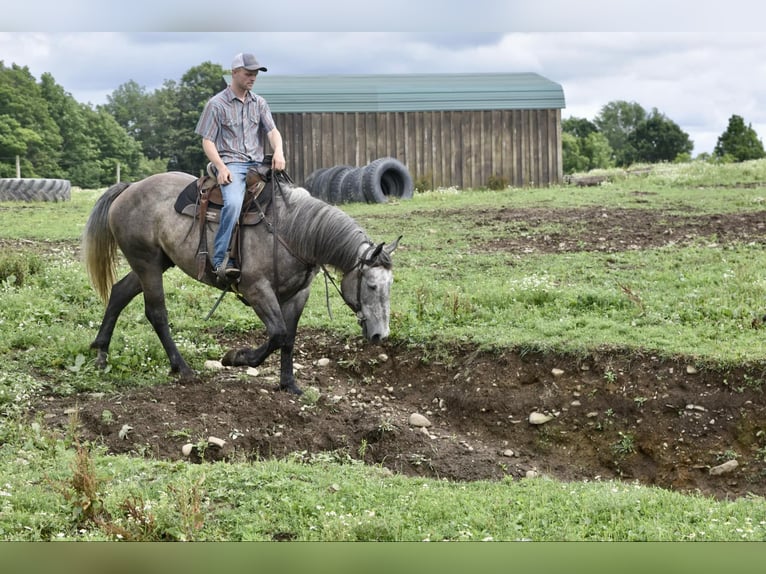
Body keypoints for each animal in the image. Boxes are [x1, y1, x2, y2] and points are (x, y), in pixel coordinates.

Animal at [82, 170, 400, 395]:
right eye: (371, 285)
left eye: (390, 285)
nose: (380, 335)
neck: (293, 230)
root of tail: (130, 188)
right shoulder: (256, 290)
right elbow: (277, 334)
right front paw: (235, 357)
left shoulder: (298, 295)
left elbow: (289, 338)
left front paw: (289, 385)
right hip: (146, 262)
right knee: (156, 312)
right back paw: (182, 368)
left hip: (156, 262)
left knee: (119, 293)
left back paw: (101, 353)